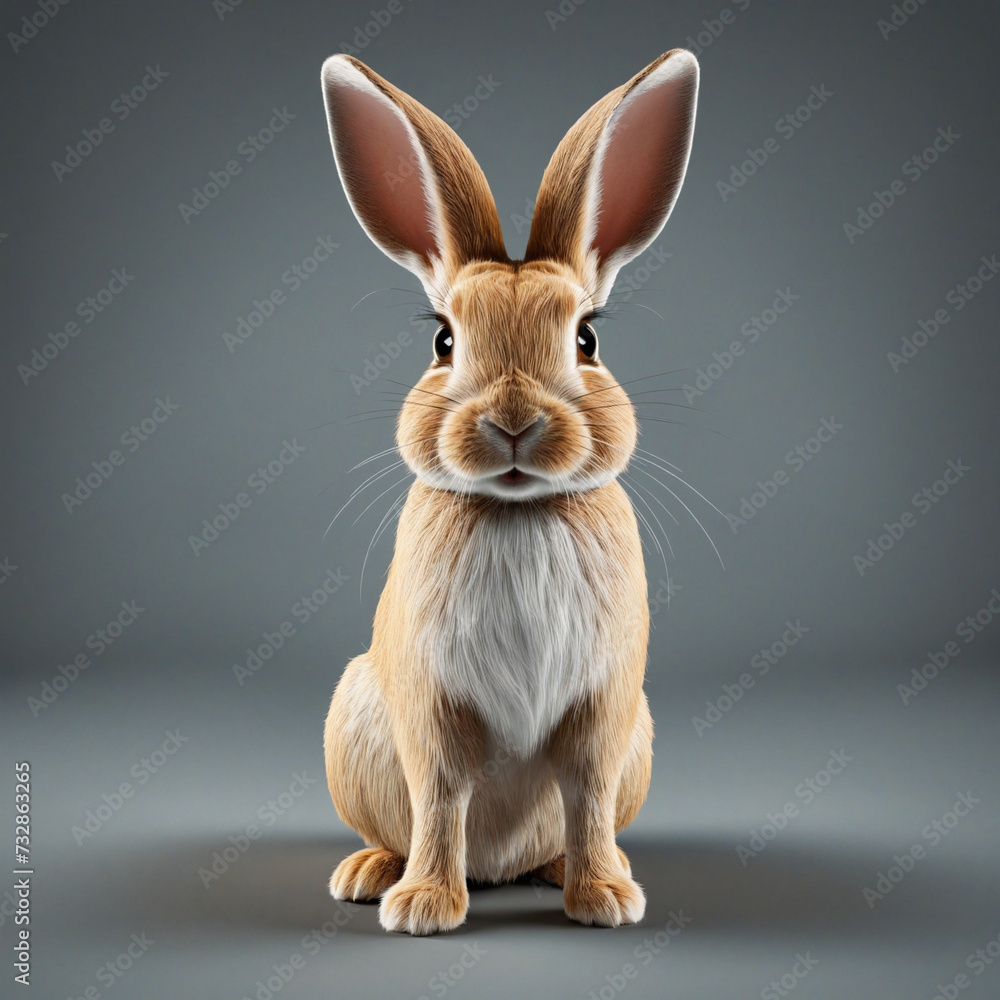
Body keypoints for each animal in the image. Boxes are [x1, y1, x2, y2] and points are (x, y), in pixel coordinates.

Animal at [319, 47, 699, 935]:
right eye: (443, 340)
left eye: (587, 338)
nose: (515, 422)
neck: (519, 512)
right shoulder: (432, 707)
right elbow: (439, 796)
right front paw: (423, 908)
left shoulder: (602, 710)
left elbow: (587, 791)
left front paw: (605, 901)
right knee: (404, 826)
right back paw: (369, 874)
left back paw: (574, 872)